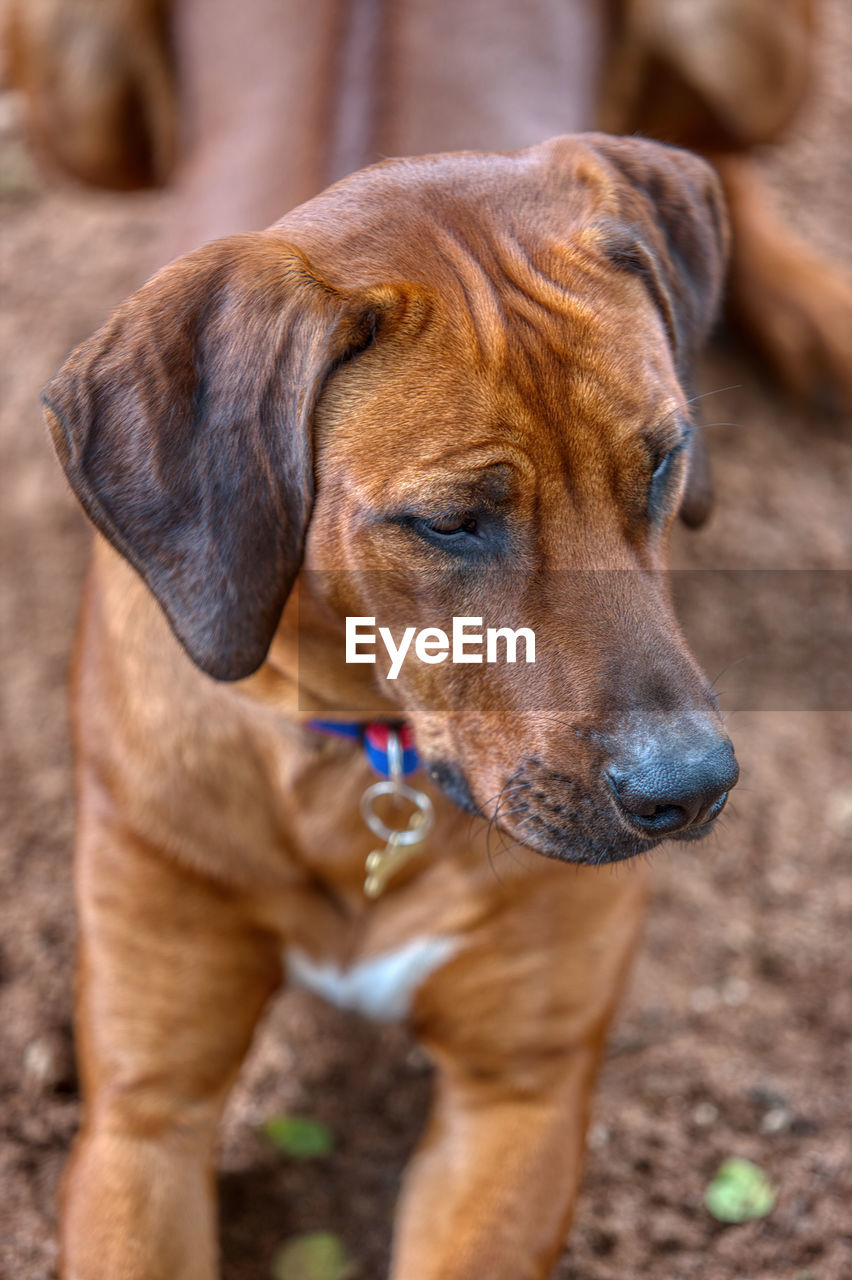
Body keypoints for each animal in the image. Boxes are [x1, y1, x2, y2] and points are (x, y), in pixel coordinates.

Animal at [44, 132, 736, 1280]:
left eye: (665, 461)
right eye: (450, 522)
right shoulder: (146, 1110)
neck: (371, 756)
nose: (692, 787)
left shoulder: (522, 1095)